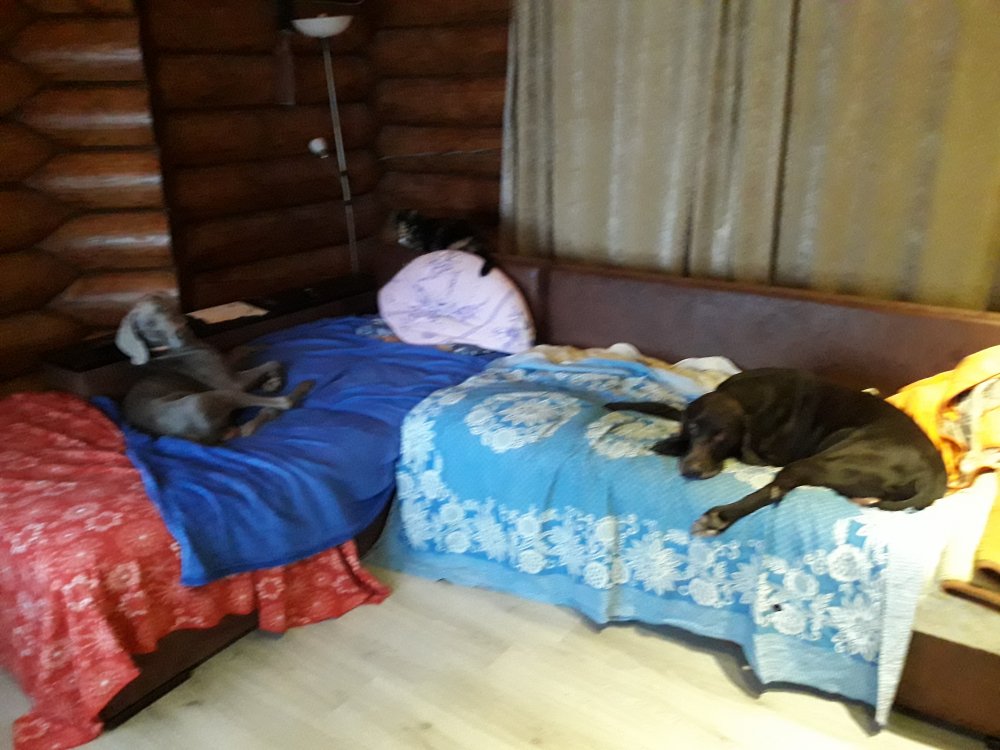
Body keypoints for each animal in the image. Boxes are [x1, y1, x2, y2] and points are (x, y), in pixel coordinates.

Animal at [115, 294, 313, 444]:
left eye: (162, 309)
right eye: (150, 327)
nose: (180, 332)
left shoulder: (225, 362)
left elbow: (242, 348)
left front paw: (264, 350)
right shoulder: (232, 383)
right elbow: (273, 362)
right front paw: (274, 380)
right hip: (211, 397)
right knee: (283, 402)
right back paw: (302, 388)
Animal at [606, 368, 947, 536]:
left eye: (722, 437)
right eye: (693, 429)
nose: (692, 469)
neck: (746, 397)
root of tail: (935, 476)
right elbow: (666, 408)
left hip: (827, 459)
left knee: (777, 487)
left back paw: (719, 516)